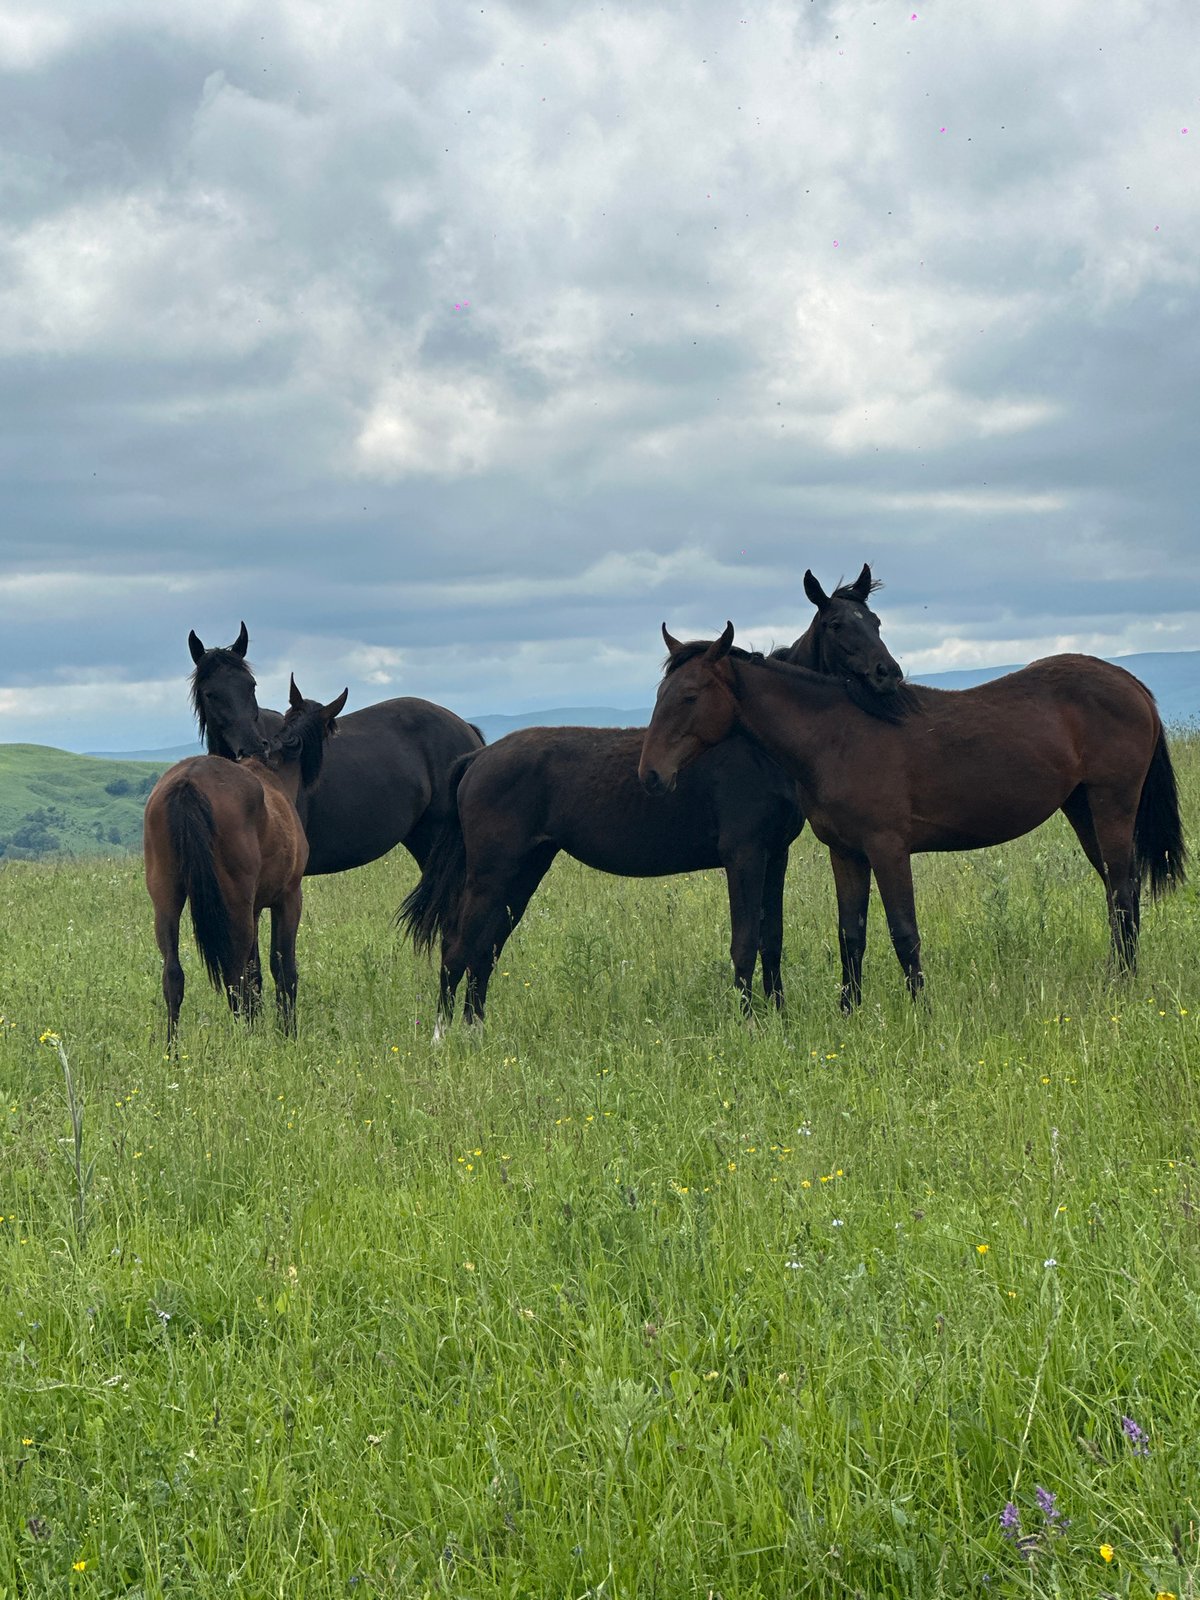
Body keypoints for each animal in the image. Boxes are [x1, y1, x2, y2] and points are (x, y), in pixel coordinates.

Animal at [144, 678, 348, 1041]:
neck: (274, 774)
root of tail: (187, 782)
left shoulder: (253, 909)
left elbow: (256, 975)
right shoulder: (288, 899)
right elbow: (282, 969)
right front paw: (287, 1032)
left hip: (167, 899)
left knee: (174, 975)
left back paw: (174, 1048)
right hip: (235, 905)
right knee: (233, 975)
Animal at [400, 565, 903, 1029]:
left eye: (875, 621)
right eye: (836, 625)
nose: (889, 674)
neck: (754, 745)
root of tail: (477, 758)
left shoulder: (774, 855)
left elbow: (771, 939)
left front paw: (777, 1016)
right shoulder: (743, 855)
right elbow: (744, 942)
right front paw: (748, 1024)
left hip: (525, 868)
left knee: (486, 947)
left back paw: (474, 1029)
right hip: (491, 872)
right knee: (458, 946)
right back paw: (445, 1036)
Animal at [639, 622, 1187, 1010]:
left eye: (689, 696)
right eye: (659, 696)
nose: (650, 775)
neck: (837, 736)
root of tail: (1130, 684)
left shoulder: (888, 848)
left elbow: (904, 932)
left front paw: (920, 1011)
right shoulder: (847, 853)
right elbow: (851, 934)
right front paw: (850, 1012)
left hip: (1111, 805)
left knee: (1122, 894)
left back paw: (1121, 984)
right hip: (1083, 809)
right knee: (1120, 891)